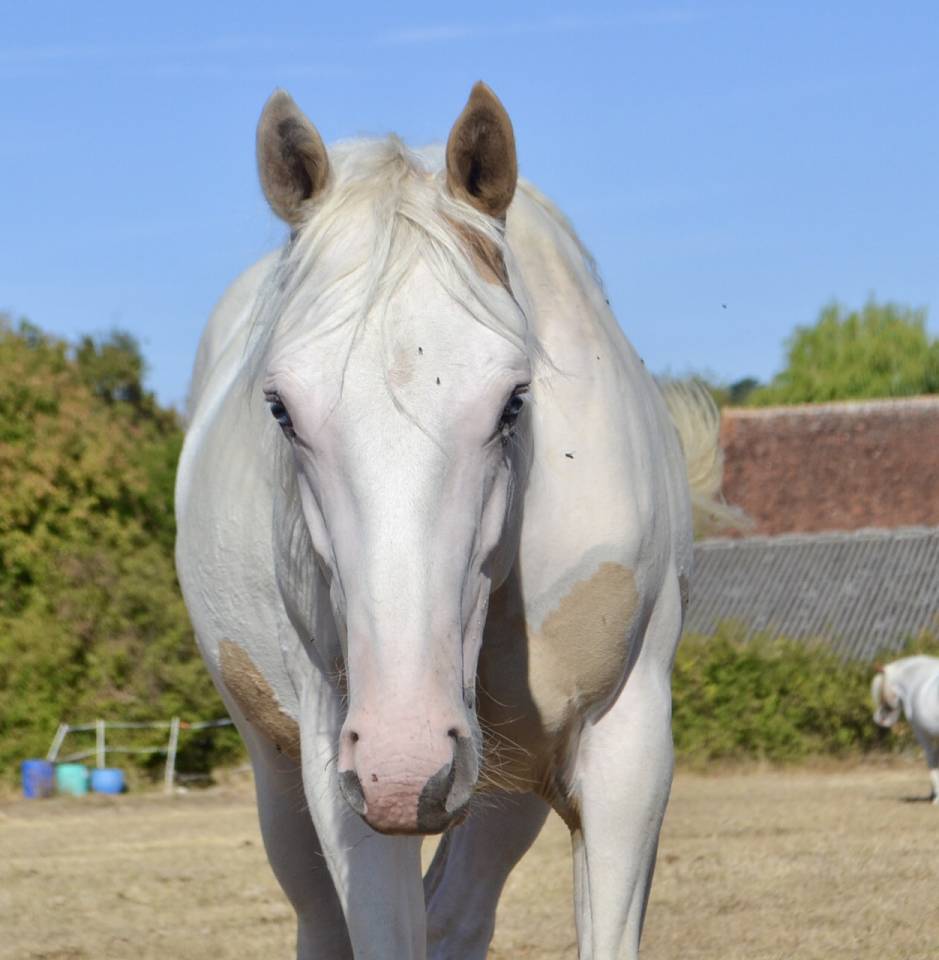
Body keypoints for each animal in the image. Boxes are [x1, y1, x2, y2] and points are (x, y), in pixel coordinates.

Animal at [175, 82, 728, 959]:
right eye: (280, 409)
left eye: (514, 400)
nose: (408, 763)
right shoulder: (347, 769)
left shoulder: (626, 751)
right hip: (287, 776)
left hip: (503, 788)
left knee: (459, 912)